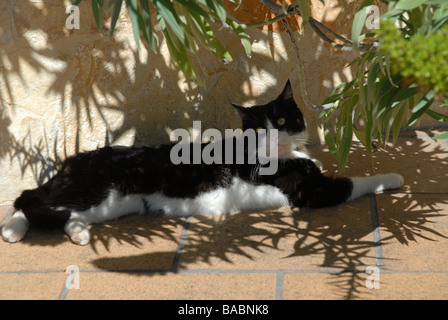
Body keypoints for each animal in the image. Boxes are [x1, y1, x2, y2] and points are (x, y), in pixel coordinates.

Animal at [1, 80, 404, 245]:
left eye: (283, 120)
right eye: (260, 129)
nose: (275, 137)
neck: (284, 156)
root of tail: (71, 161)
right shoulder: (308, 190)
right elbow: (354, 181)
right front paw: (394, 177)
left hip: (110, 204)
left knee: (47, 205)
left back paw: (57, 231)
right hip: (98, 188)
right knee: (29, 198)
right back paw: (23, 230)